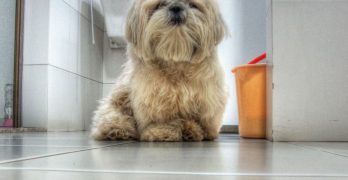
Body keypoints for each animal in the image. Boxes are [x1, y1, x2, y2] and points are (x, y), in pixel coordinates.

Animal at [92, 0, 227, 141]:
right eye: (160, 5)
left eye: (192, 4)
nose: (176, 7)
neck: (175, 60)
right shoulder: (155, 98)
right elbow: (162, 119)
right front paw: (162, 132)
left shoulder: (209, 98)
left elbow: (202, 120)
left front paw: (193, 129)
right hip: (117, 101)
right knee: (111, 117)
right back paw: (116, 129)